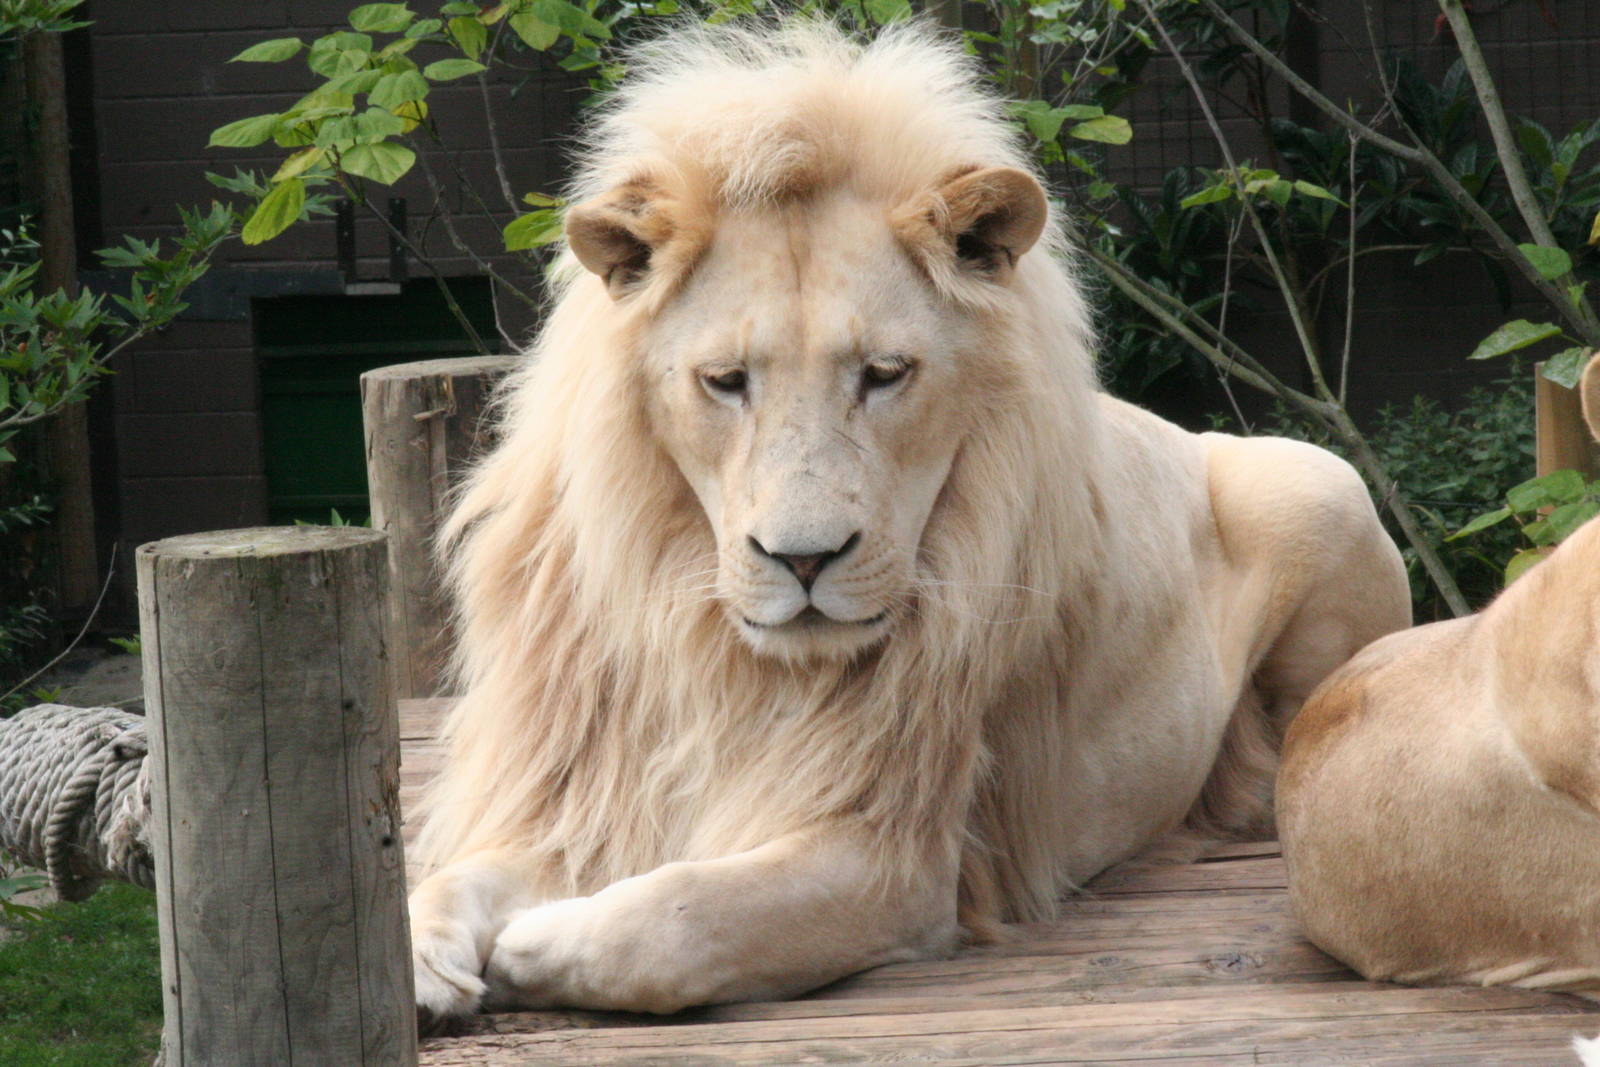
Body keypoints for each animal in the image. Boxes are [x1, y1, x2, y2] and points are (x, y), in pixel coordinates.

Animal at [406, 20, 1410, 1021]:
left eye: (884, 373)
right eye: (725, 380)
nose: (804, 560)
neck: (716, 656)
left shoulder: (895, 862)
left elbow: (688, 917)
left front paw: (540, 944)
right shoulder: (588, 796)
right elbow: (451, 875)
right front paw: (420, 953)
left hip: (1320, 483)